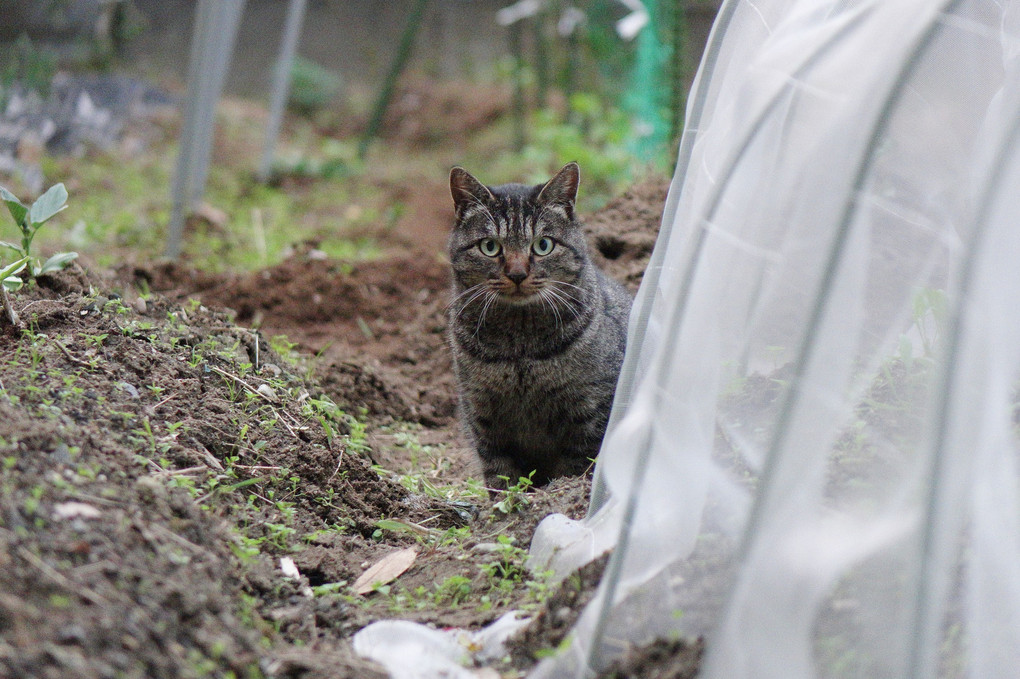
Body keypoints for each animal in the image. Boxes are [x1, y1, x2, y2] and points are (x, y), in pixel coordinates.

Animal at [444, 164, 628, 491]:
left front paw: (561, 493)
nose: (517, 274)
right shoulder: (481, 414)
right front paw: (508, 501)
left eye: (543, 245)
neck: (520, 349)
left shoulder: (590, 410)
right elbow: (499, 472)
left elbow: (576, 466)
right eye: (489, 247)